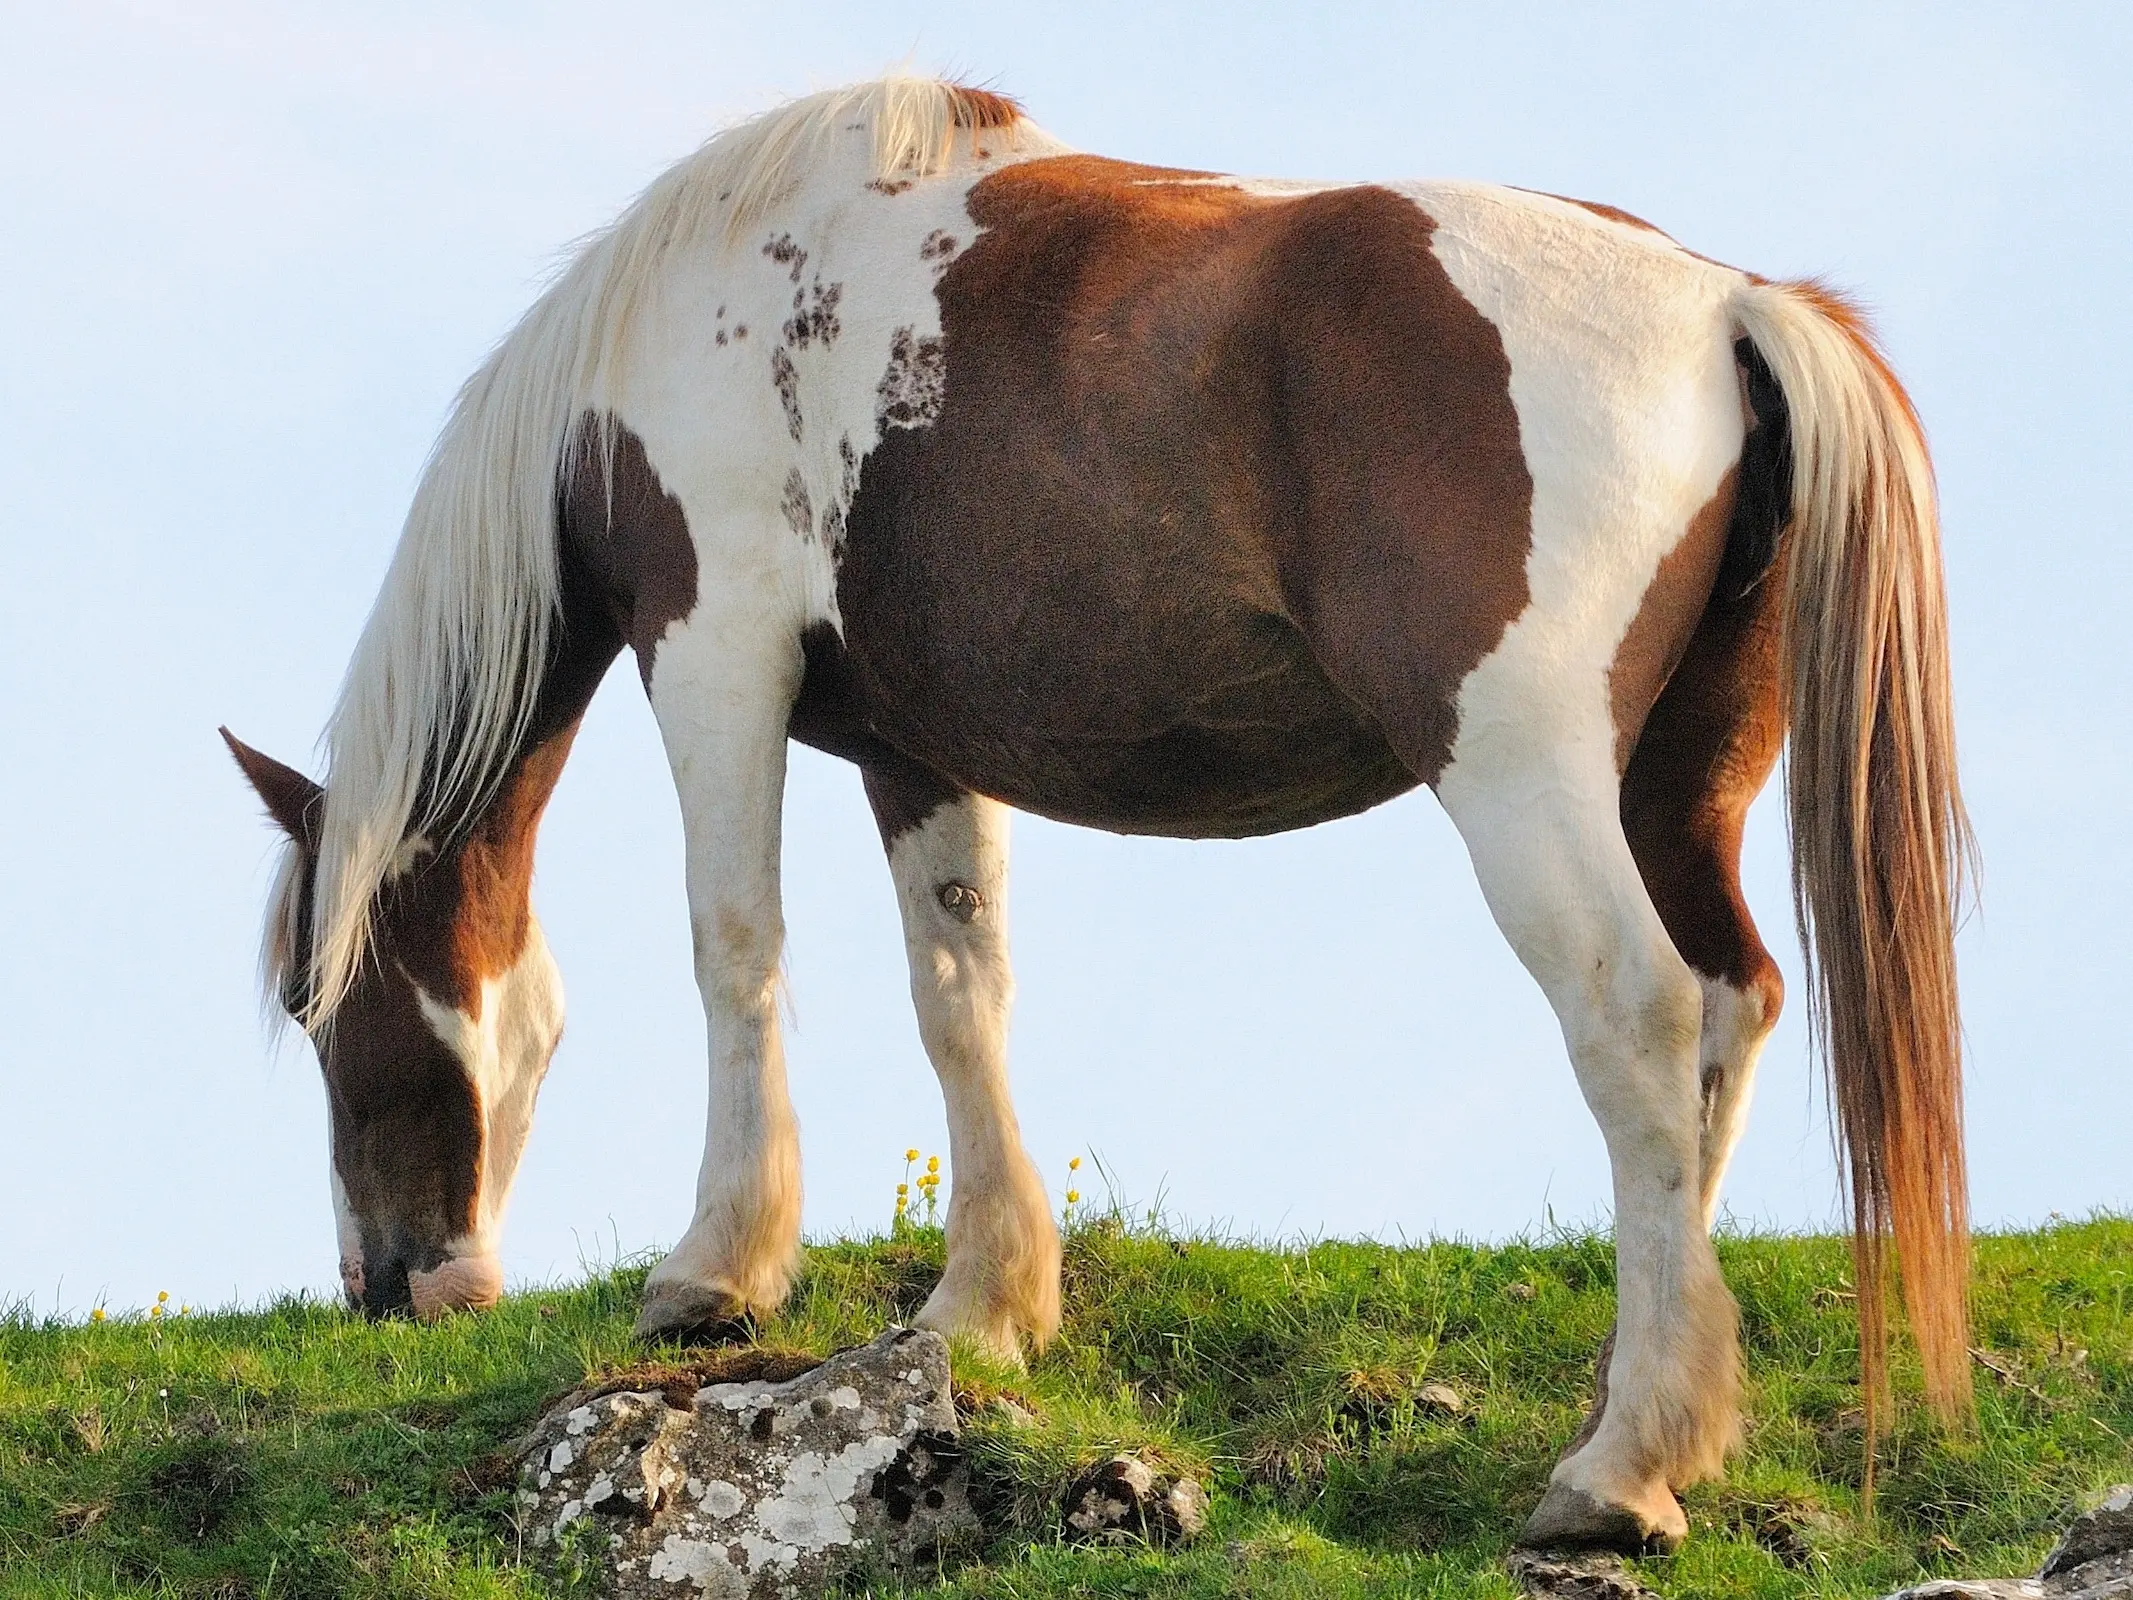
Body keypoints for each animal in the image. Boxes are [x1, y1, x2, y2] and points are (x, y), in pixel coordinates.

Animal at [225, 75, 1970, 1553]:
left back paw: (1618, 1469)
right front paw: (981, 1306)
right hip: (1678, 786)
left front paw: (714, 1276)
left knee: (1636, 1019)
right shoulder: (911, 742)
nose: (390, 1288)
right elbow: (958, 991)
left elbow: (736, 948)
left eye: (319, 1008)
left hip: (1528, 782)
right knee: (1732, 1007)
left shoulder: (714, 653)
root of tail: (1727, 305)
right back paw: (1668, 1408)